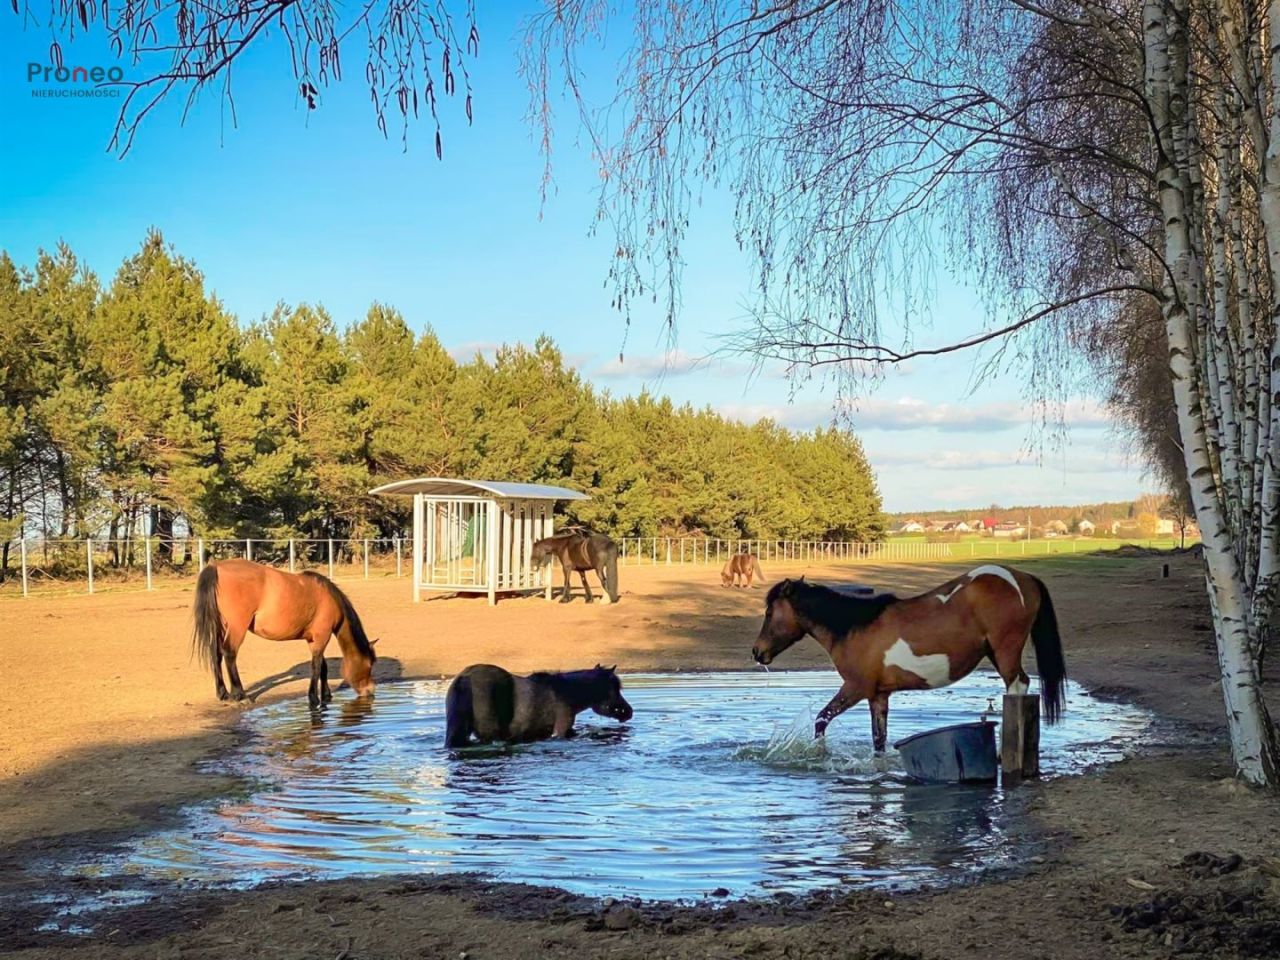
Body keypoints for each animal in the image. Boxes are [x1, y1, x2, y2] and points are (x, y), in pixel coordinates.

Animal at [189, 560, 376, 711]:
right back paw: (239, 695)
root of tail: (216, 567)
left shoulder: (314, 639)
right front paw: (314, 698)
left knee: (216, 654)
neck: (329, 598)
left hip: (221, 626)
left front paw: (326, 696)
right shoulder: (322, 636)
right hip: (236, 627)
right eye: (369, 664)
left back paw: (223, 694)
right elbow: (316, 667)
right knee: (229, 653)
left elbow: (323, 667)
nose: (370, 692)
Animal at [747, 568, 1070, 757]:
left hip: (1005, 652)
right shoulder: (878, 695)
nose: (757, 652)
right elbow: (879, 740)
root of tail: (1022, 579)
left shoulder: (855, 688)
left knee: (1018, 687)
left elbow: (821, 720)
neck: (854, 626)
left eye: (769, 612)